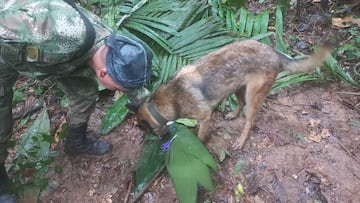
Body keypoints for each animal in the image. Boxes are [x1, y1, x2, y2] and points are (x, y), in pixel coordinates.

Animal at [136, 39, 332, 150]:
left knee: (249, 121)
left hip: (253, 97)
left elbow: (200, 135)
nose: (159, 139)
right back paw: (233, 114)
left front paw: (199, 144)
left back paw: (241, 141)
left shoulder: (205, 116)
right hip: (238, 87)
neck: (161, 104)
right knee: (240, 103)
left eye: (148, 131)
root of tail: (274, 53)